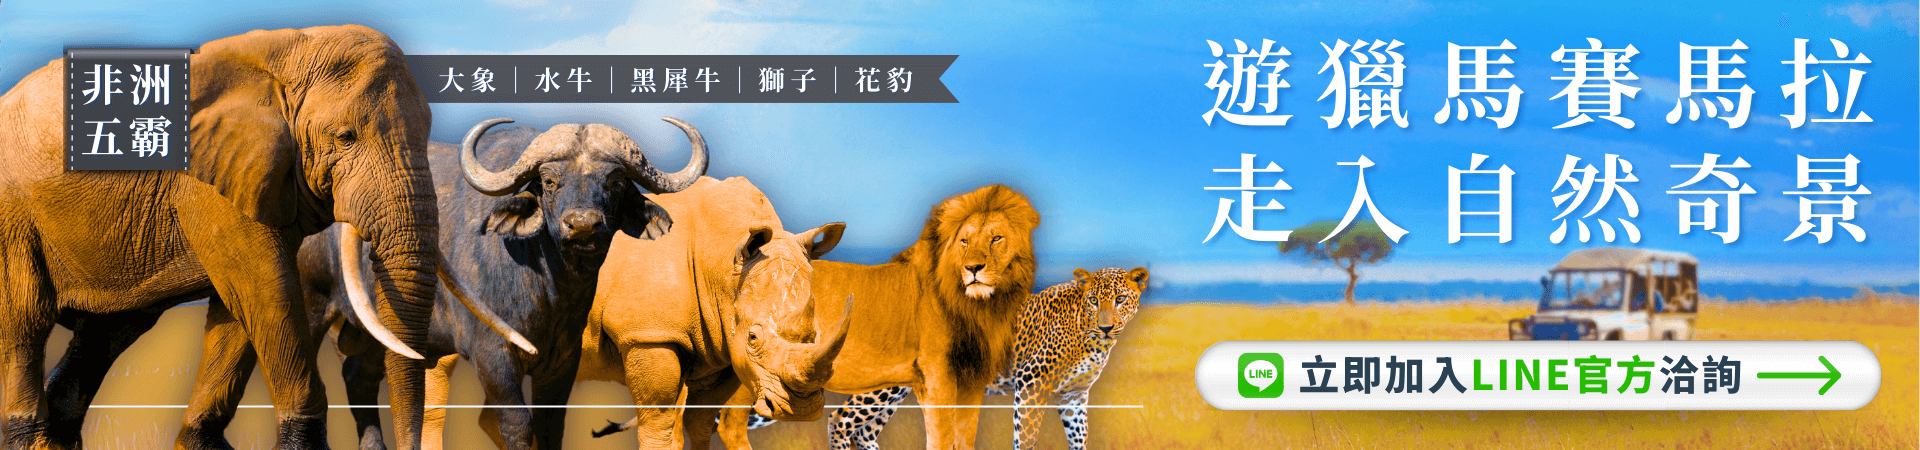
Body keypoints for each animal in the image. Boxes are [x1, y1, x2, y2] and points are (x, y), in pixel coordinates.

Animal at [0, 25, 442, 450]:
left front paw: (201, 438)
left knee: (105, 334)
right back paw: (28, 436)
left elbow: (241, 307)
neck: (290, 49)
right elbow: (267, 288)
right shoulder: (211, 183)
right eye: (346, 137)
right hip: (13, 220)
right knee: (26, 322)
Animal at [177, 117, 709, 450]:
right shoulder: (495, 355)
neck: (549, 286)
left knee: (358, 375)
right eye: (549, 182)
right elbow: (517, 423)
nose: (581, 226)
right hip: (308, 304)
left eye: (615, 182)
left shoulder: (564, 359)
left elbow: (551, 425)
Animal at [570, 176, 851, 450]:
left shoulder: (721, 346)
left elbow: (701, 422)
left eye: (817, 334)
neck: (723, 263)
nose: (800, 409)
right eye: (753, 338)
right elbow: (658, 424)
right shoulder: (648, 334)